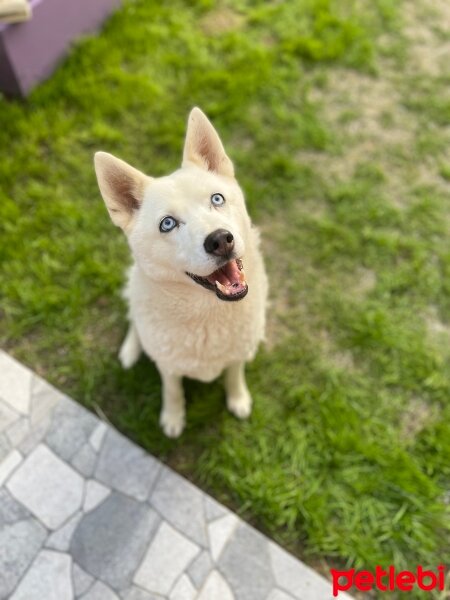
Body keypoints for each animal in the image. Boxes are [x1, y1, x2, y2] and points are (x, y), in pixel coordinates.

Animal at [92, 106, 266, 436]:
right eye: (168, 224)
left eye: (217, 199)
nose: (220, 240)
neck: (208, 317)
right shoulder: (168, 367)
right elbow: (172, 390)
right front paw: (173, 418)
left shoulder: (237, 353)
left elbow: (234, 373)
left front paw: (238, 398)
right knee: (134, 321)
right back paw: (131, 350)